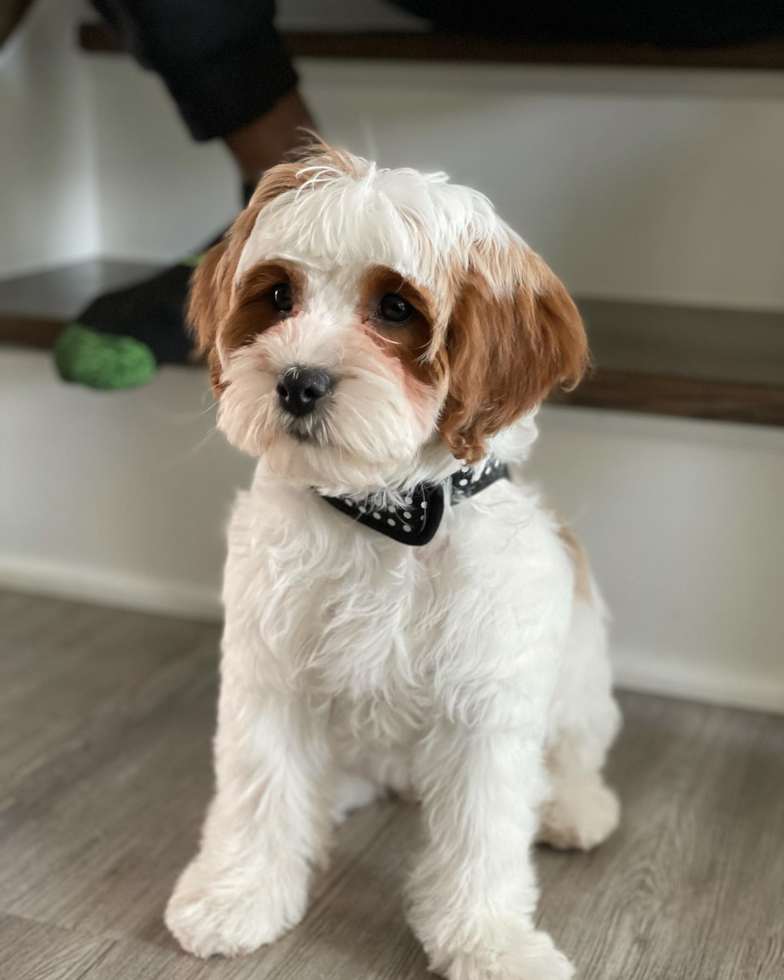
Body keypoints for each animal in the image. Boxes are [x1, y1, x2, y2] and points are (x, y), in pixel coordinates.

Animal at [164, 138, 620, 980]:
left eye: (397, 309)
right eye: (278, 297)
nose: (297, 383)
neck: (381, 514)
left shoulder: (487, 702)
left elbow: (483, 836)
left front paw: (489, 942)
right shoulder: (269, 674)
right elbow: (259, 790)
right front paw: (236, 896)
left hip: (579, 670)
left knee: (575, 745)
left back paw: (575, 805)